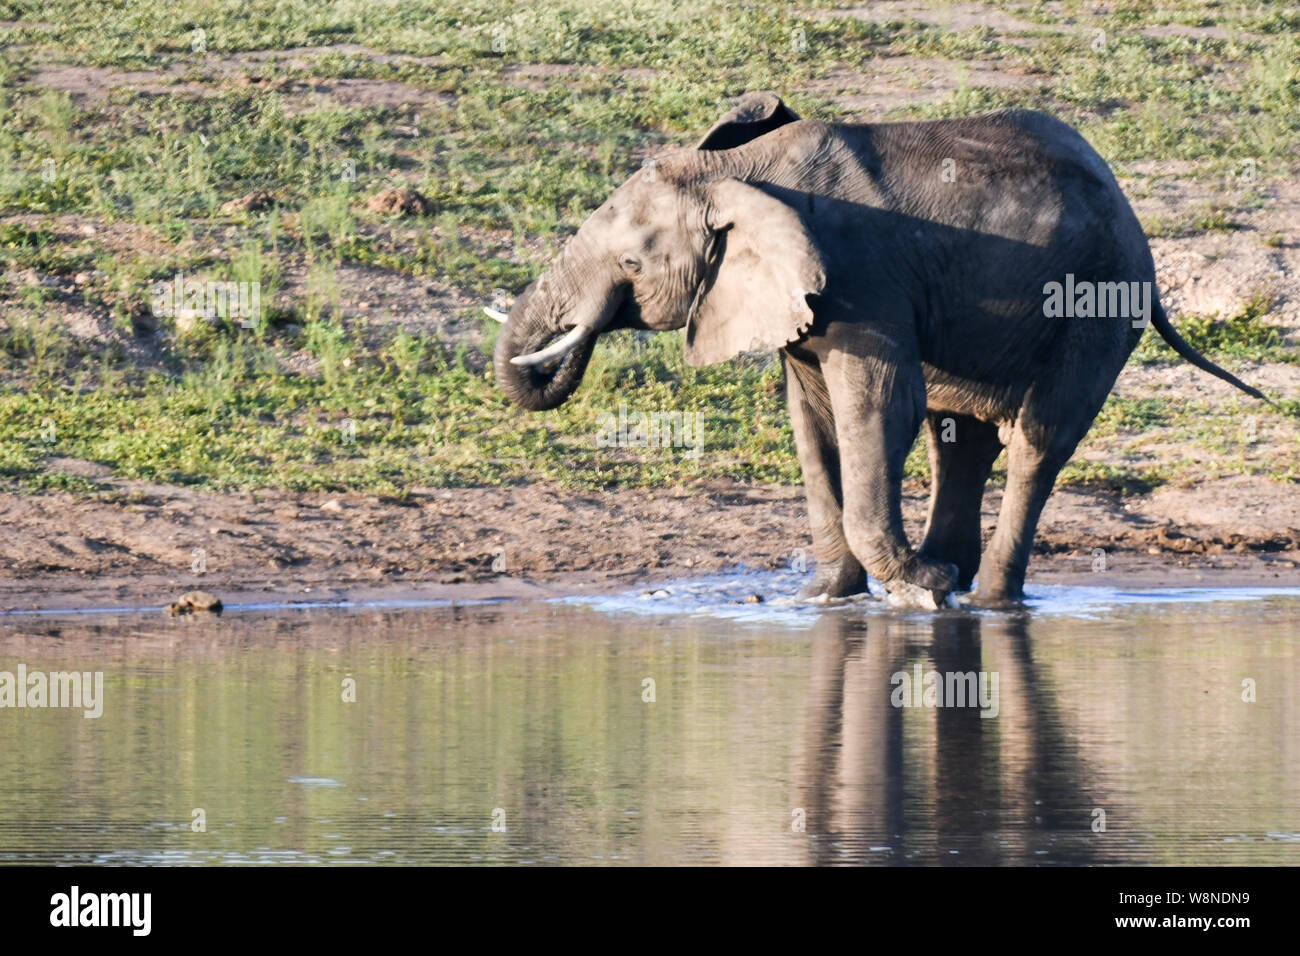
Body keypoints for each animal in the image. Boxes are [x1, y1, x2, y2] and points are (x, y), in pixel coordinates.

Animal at [491, 93, 1263, 608]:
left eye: (631, 263)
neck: (733, 170)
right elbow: (814, 423)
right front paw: (826, 598)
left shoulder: (862, 277)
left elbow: (880, 408)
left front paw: (912, 591)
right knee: (962, 441)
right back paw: (952, 577)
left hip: (1098, 303)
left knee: (1039, 440)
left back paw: (982, 599)